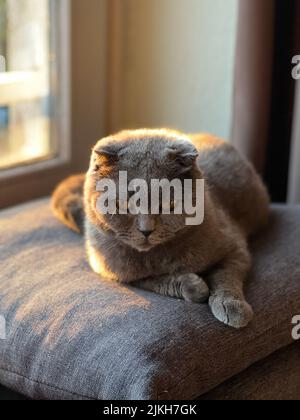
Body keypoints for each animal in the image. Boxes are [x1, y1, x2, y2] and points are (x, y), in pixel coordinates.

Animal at [51, 128, 270, 328]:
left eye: (169, 204)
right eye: (123, 204)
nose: (146, 230)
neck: (157, 256)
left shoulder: (235, 246)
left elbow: (227, 275)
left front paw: (231, 306)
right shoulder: (120, 273)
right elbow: (156, 280)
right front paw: (194, 285)